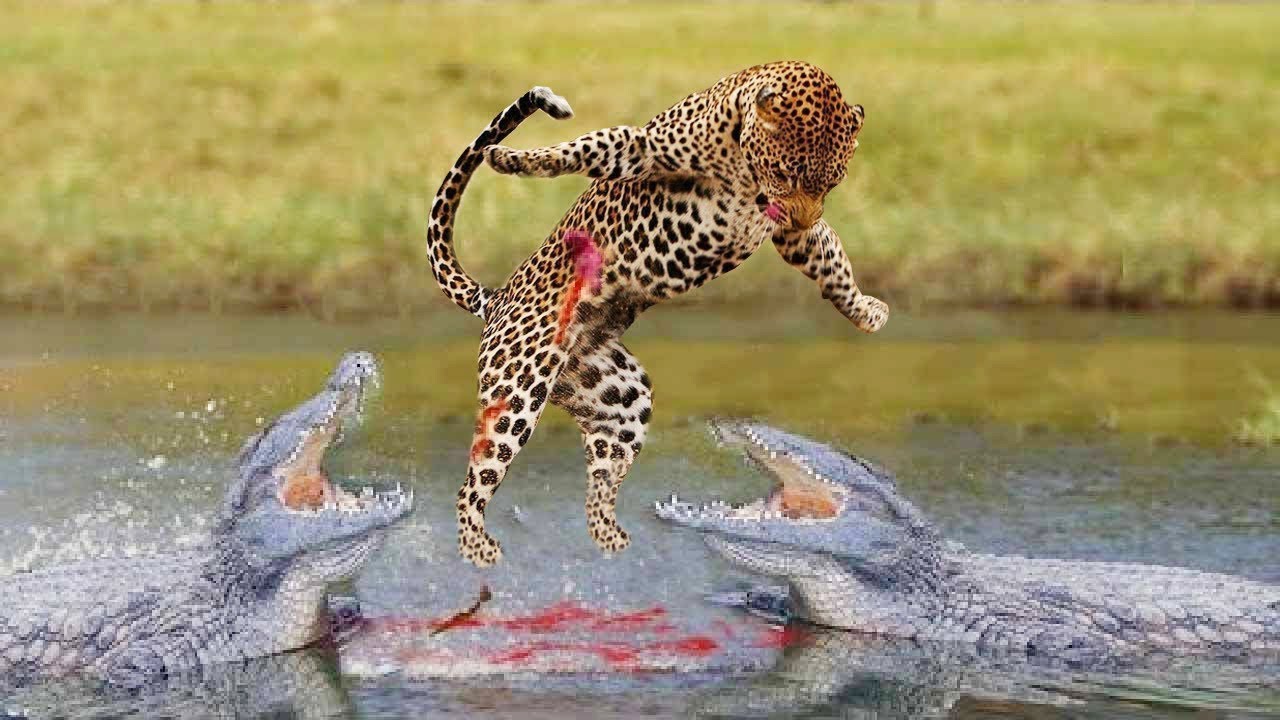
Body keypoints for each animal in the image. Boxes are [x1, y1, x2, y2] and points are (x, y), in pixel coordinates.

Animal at [424, 61, 889, 568]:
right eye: (786, 173)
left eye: (833, 181)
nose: (801, 215)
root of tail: (498, 296)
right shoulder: (643, 149)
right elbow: (583, 147)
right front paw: (513, 159)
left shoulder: (791, 232)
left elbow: (831, 261)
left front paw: (865, 311)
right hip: (517, 390)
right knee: (473, 484)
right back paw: (479, 550)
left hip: (622, 398)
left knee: (601, 478)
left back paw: (611, 541)